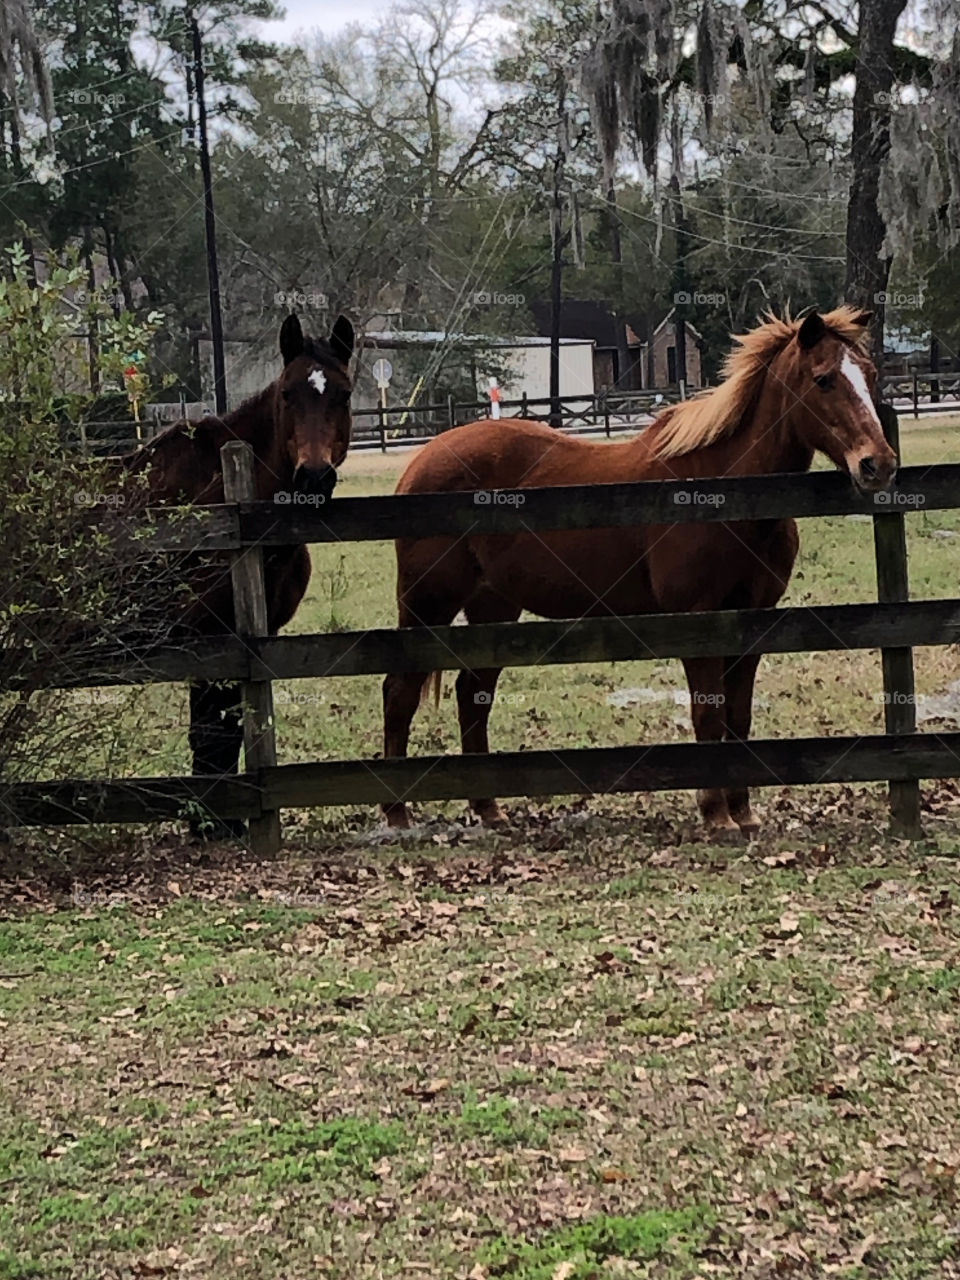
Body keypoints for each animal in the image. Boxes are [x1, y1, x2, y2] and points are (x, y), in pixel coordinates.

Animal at [124, 312, 354, 837]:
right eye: (288, 393)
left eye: (344, 393)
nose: (314, 477)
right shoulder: (206, 637)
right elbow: (210, 736)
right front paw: (211, 825)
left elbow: (226, 735)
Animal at [381, 307, 897, 837]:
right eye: (823, 379)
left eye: (870, 375)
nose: (878, 464)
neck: (726, 490)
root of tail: (422, 460)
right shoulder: (698, 620)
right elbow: (708, 715)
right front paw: (715, 813)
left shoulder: (752, 621)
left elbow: (738, 717)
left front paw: (742, 811)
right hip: (427, 604)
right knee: (400, 691)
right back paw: (397, 812)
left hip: (493, 608)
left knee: (472, 693)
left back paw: (487, 806)